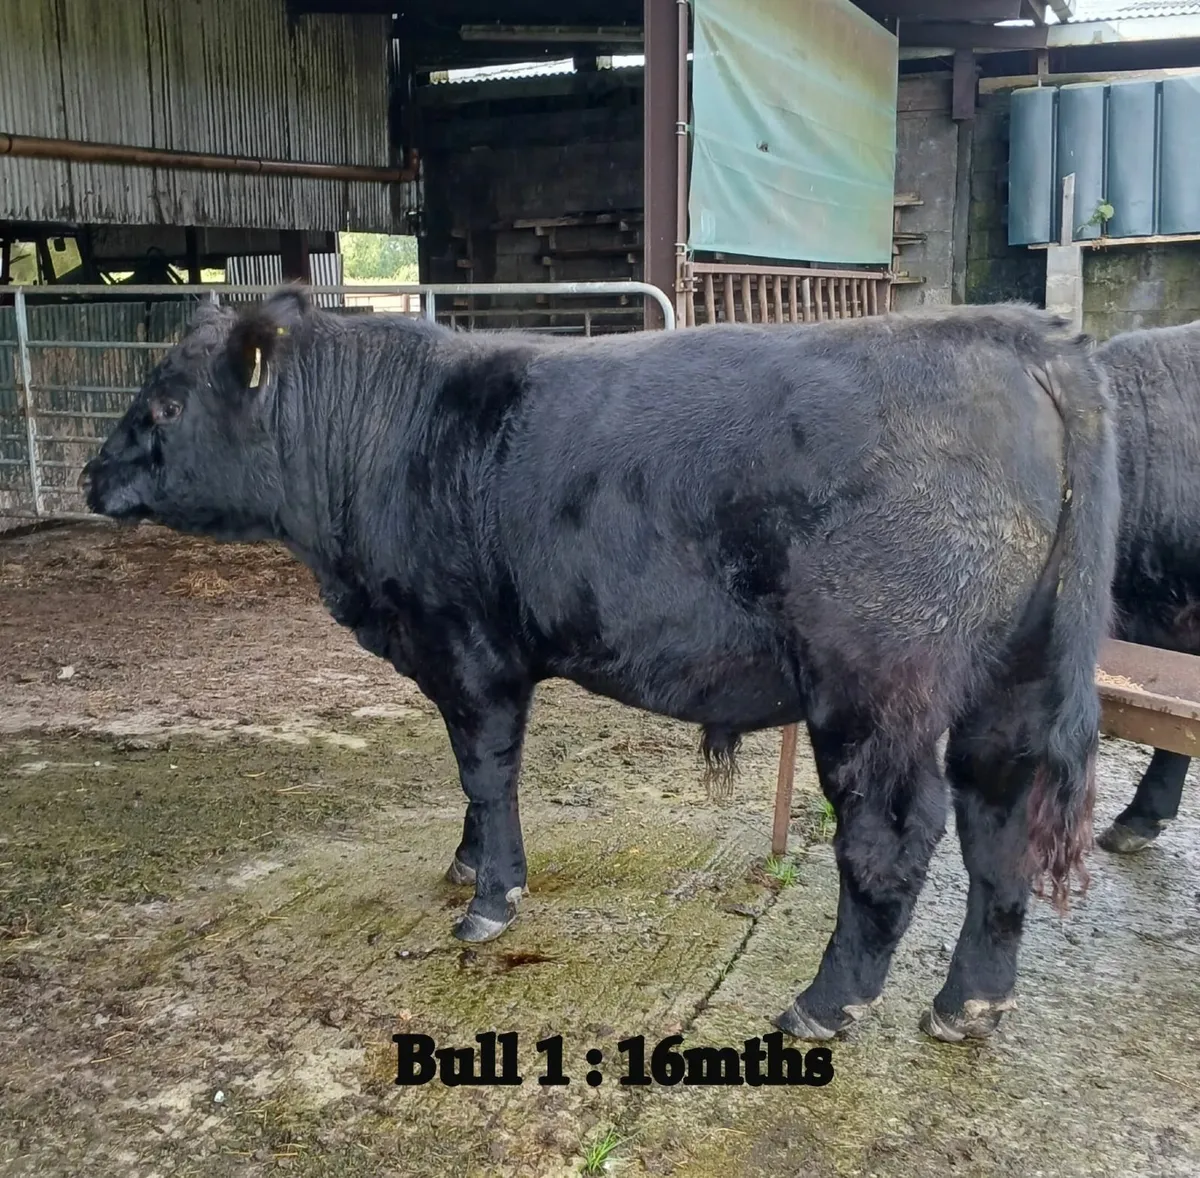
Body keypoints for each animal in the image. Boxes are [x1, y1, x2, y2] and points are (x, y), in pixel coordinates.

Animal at [81, 290, 1119, 1045]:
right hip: (1012, 680)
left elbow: (486, 772)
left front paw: (491, 898)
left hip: (874, 687)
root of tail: (1014, 333)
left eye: (167, 401)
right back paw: (969, 1004)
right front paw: (465, 865)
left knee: (892, 837)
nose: (92, 477)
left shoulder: (470, 651)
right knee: (999, 822)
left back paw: (824, 1005)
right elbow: (474, 780)